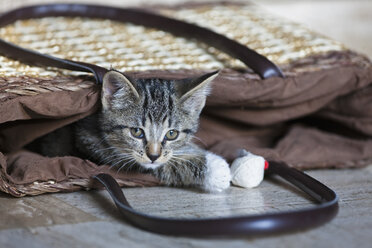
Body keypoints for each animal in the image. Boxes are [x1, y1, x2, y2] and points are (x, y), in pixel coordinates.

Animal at [37, 70, 230, 192]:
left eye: (171, 134)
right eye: (137, 132)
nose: (153, 155)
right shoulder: (91, 145)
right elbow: (155, 165)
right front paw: (216, 168)